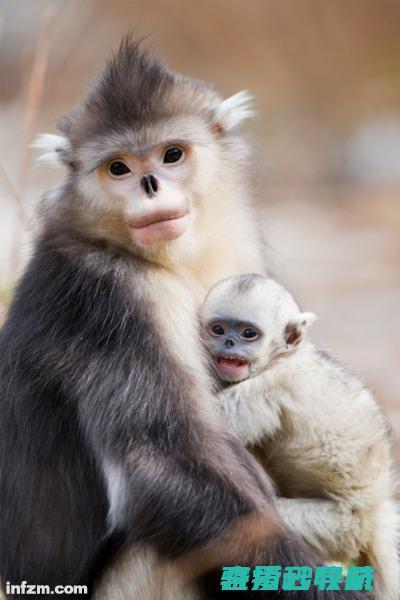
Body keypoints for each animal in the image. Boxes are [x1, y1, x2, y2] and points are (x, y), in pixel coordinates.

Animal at [202, 274, 398, 596]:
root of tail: (375, 508)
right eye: (218, 329)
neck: (283, 356)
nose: (228, 342)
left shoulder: (272, 385)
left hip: (338, 526)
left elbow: (215, 420)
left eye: (248, 334)